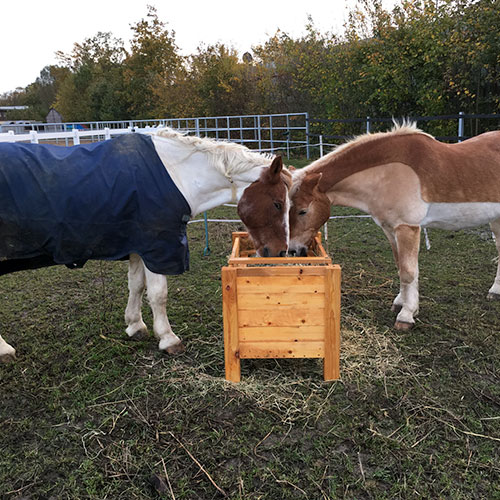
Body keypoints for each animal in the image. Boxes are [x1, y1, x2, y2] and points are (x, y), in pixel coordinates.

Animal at [0, 128, 292, 364]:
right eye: (278, 203)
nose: (281, 252)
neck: (177, 175)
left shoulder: (138, 245)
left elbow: (136, 285)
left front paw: (135, 325)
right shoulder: (158, 246)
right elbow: (158, 294)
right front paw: (168, 338)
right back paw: (4, 350)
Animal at [288, 122, 500, 330]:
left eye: (303, 211)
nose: (292, 250)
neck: (388, 173)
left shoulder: (407, 228)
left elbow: (408, 271)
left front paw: (406, 315)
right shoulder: (390, 230)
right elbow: (400, 267)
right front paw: (401, 303)